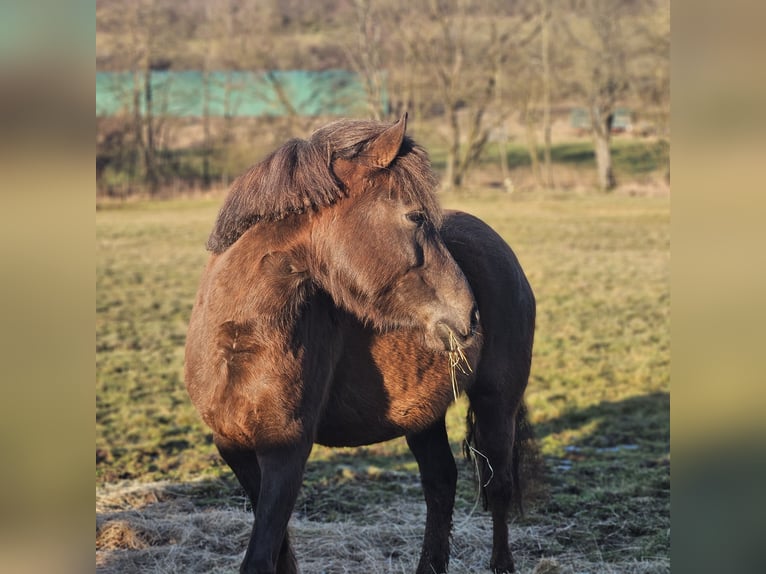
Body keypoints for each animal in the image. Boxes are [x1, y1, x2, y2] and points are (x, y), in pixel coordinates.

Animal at [184, 115, 536, 572]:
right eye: (415, 215)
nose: (469, 316)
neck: (236, 340)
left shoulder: (287, 452)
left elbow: (261, 555)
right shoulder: (234, 447)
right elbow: (280, 552)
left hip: (497, 403)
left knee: (497, 488)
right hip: (423, 415)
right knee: (440, 482)